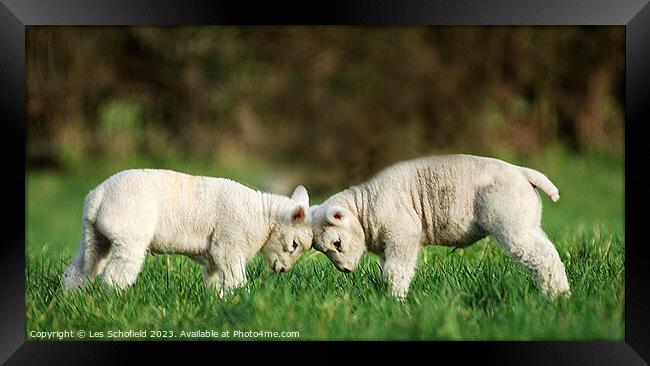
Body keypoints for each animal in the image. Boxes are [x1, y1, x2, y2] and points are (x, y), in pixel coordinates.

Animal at [63, 170, 312, 296]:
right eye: (294, 245)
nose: (282, 270)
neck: (263, 216)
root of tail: (98, 196)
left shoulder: (214, 255)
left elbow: (215, 279)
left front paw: (217, 300)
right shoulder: (229, 245)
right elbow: (236, 278)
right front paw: (242, 298)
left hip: (95, 238)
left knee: (79, 270)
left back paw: (72, 299)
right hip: (129, 236)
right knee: (116, 275)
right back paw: (115, 300)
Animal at [312, 154, 568, 300]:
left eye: (337, 243)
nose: (345, 270)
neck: (365, 207)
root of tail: (523, 171)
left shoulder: (402, 235)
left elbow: (397, 271)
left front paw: (395, 301)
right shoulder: (387, 245)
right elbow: (387, 271)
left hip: (512, 222)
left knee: (544, 258)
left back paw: (558, 297)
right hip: (527, 221)